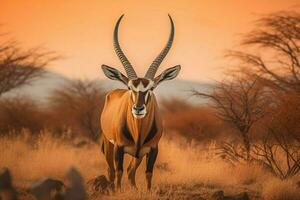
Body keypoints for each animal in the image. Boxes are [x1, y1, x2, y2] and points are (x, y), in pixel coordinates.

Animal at [101, 14, 180, 191]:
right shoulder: (119, 147)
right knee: (111, 171)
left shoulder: (153, 149)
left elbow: (148, 173)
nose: (138, 109)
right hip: (108, 145)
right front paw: (117, 192)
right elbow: (119, 171)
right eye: (130, 87)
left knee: (131, 171)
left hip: (138, 155)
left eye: (151, 88)